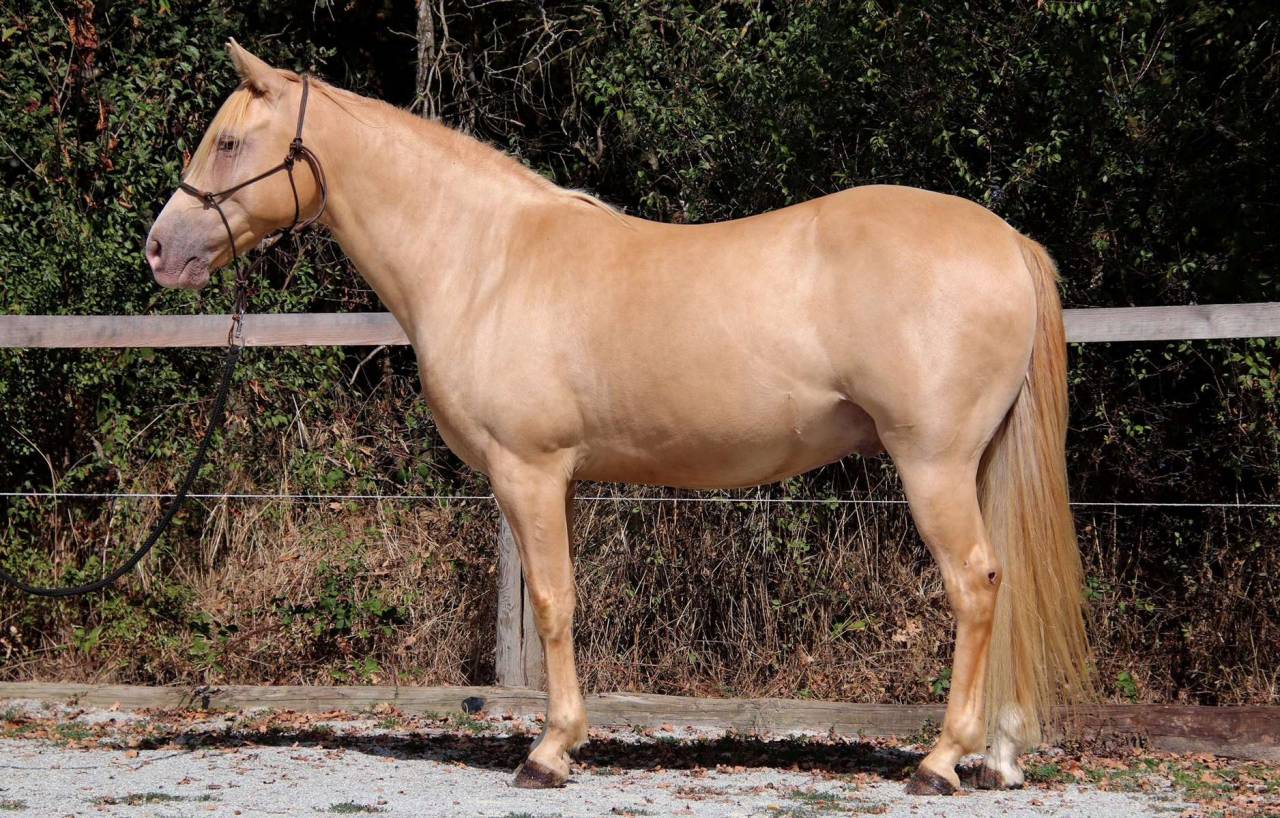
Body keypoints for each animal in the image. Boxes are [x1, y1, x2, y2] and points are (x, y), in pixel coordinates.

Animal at [145, 40, 1090, 795]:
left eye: (229, 141)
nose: (161, 249)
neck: (484, 260)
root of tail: (1006, 241)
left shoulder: (527, 471)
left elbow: (553, 600)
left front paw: (549, 751)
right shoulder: (550, 478)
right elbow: (562, 599)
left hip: (933, 464)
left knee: (974, 585)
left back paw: (940, 761)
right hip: (974, 464)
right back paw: (999, 756)